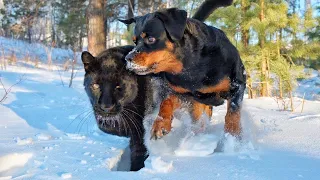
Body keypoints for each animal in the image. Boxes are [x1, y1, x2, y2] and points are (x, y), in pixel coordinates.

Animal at [120, 0, 245, 140]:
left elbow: (232, 113)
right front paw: (160, 124)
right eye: (135, 42)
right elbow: (166, 101)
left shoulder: (237, 85)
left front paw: (233, 136)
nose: (128, 58)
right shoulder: (183, 95)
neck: (189, 66)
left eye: (151, 39)